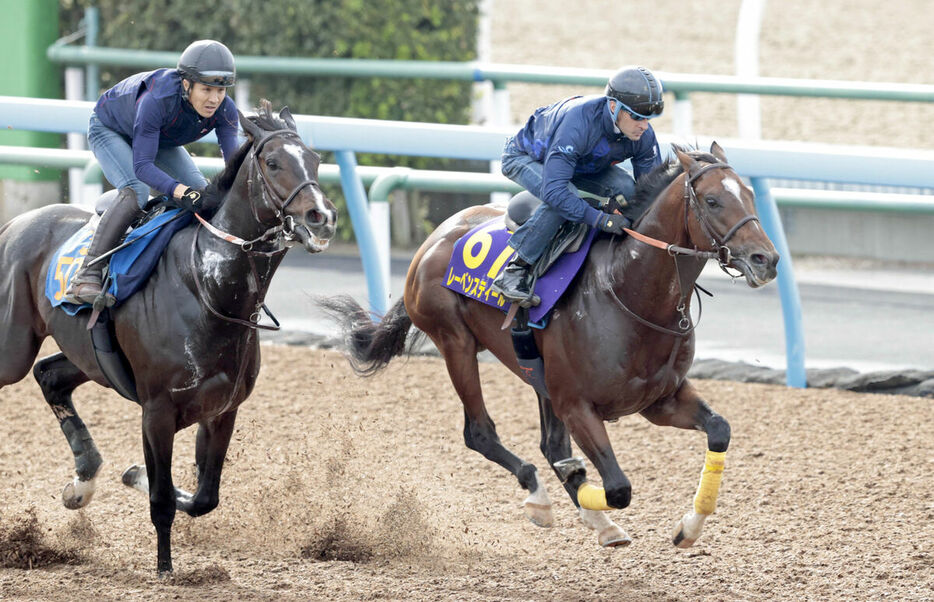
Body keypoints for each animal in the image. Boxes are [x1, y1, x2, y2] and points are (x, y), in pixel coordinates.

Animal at [0, 101, 338, 568]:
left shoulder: (222, 410)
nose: (321, 217)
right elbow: (161, 501)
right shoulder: (156, 412)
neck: (207, 288)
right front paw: (165, 569)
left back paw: (82, 481)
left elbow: (204, 498)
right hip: (12, 348)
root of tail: (15, 223)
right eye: (273, 163)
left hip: (87, 355)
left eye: (316, 160)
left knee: (49, 376)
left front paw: (134, 475)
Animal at [326, 143, 780, 548]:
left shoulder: (658, 399)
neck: (627, 291)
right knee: (480, 433)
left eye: (749, 193)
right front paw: (587, 495)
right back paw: (541, 497)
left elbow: (719, 429)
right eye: (712, 200)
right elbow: (618, 488)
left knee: (549, 444)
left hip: (535, 371)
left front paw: (688, 527)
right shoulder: (577, 404)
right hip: (455, 343)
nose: (767, 260)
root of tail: (435, 238)